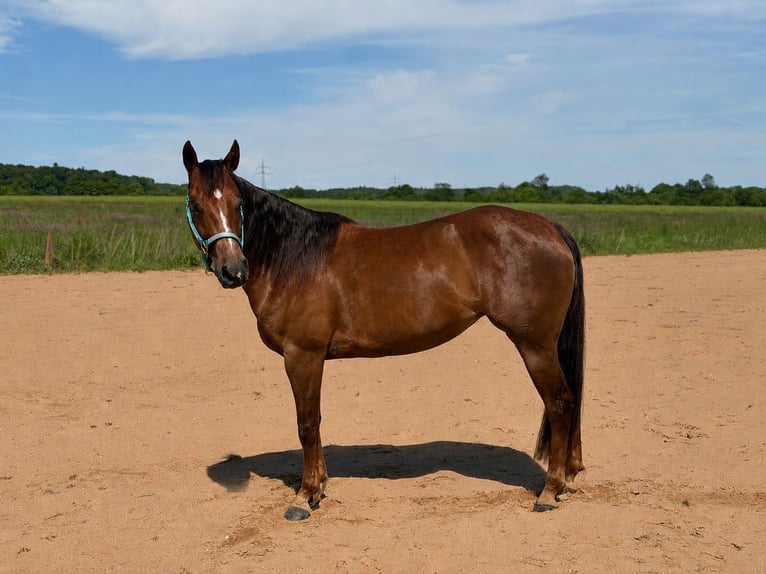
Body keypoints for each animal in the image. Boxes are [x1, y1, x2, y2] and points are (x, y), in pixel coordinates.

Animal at [182, 140, 586, 521]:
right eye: (196, 204)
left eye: (237, 203)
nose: (233, 270)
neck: (295, 258)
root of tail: (550, 227)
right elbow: (316, 422)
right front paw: (319, 487)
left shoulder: (302, 354)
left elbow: (307, 423)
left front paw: (304, 496)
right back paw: (570, 477)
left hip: (535, 345)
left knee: (560, 403)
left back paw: (550, 491)